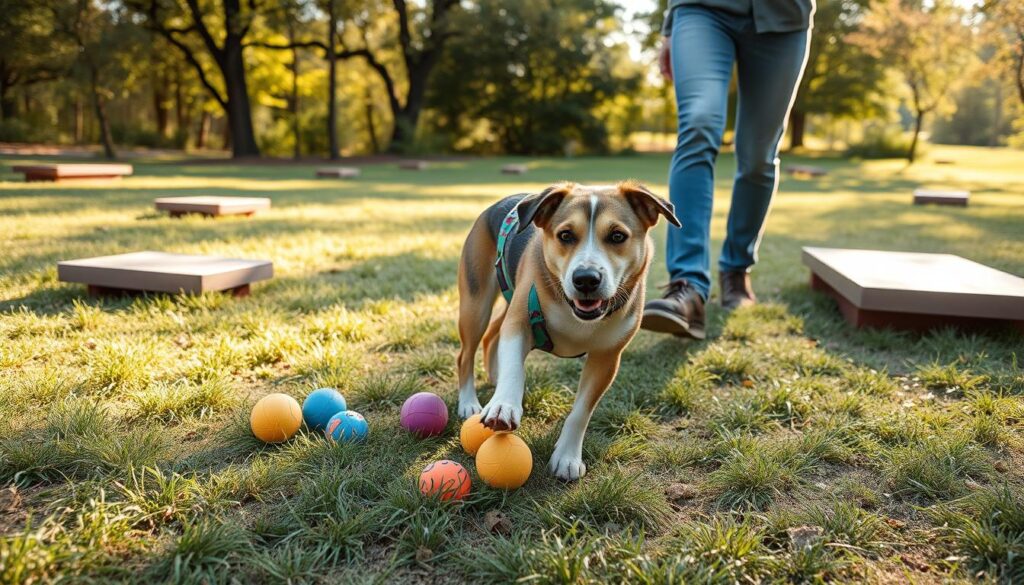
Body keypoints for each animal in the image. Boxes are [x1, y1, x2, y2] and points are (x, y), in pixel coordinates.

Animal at [456, 182, 679, 481]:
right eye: (565, 235)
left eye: (617, 236)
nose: (586, 279)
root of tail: (499, 203)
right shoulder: (520, 321)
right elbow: (515, 366)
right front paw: (504, 404)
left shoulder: (607, 358)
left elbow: (581, 412)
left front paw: (567, 458)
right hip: (475, 303)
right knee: (466, 353)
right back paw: (468, 401)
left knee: (493, 333)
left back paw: (493, 375)